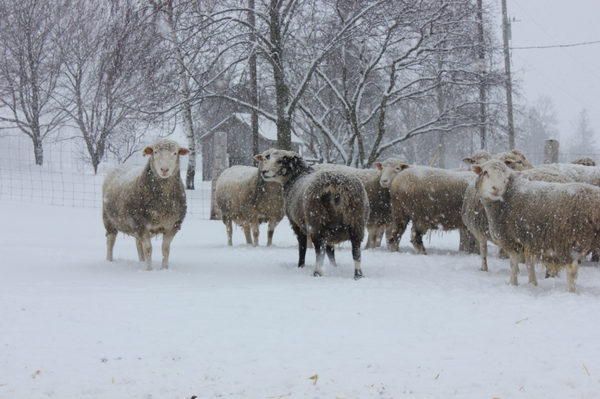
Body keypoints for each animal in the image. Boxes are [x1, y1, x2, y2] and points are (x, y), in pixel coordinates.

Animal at [101, 139, 189, 270]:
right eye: (155, 152)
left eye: (175, 153)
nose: (164, 169)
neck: (162, 202)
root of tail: (123, 164)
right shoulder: (139, 224)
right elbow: (148, 249)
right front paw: (149, 270)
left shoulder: (173, 225)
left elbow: (165, 248)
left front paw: (164, 269)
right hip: (109, 219)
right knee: (110, 240)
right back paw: (109, 260)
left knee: (138, 244)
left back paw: (141, 261)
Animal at [254, 148, 370, 280]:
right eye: (266, 157)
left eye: (282, 160)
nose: (264, 172)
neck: (295, 178)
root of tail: (336, 184)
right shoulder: (331, 233)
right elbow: (331, 251)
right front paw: (334, 267)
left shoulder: (296, 224)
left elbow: (303, 246)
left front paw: (300, 266)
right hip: (356, 221)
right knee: (356, 251)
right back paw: (358, 275)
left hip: (316, 221)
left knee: (320, 251)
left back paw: (317, 273)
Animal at [472, 159, 600, 294]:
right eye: (485, 172)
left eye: (507, 177)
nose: (496, 188)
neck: (508, 195)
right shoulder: (528, 241)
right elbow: (530, 263)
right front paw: (533, 283)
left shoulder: (512, 240)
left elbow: (514, 263)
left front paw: (513, 283)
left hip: (569, 240)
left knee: (572, 269)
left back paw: (570, 292)